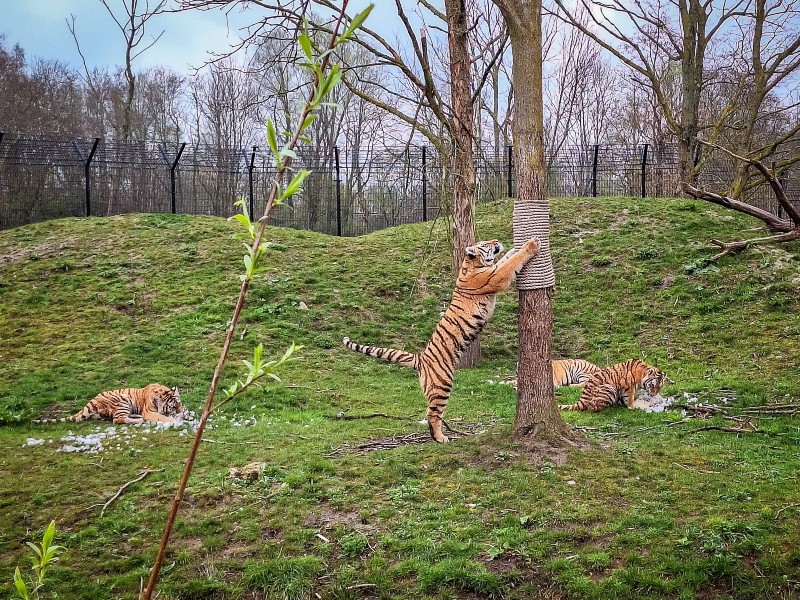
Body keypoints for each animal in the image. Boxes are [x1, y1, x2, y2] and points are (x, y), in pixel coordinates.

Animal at [33, 384, 188, 426]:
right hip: (123, 400)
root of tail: (91, 401)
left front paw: (186, 414)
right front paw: (174, 420)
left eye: (179, 403)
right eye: (173, 406)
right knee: (117, 419)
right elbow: (162, 416)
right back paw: (138, 419)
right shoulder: (149, 412)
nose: (179, 411)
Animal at [340, 238, 540, 440]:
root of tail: (420, 358)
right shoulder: (496, 276)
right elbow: (511, 263)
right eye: (485, 244)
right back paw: (440, 438)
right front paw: (531, 245)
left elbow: (506, 258)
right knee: (432, 413)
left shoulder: (494, 269)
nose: (496, 241)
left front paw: (514, 247)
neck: (472, 265)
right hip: (442, 385)